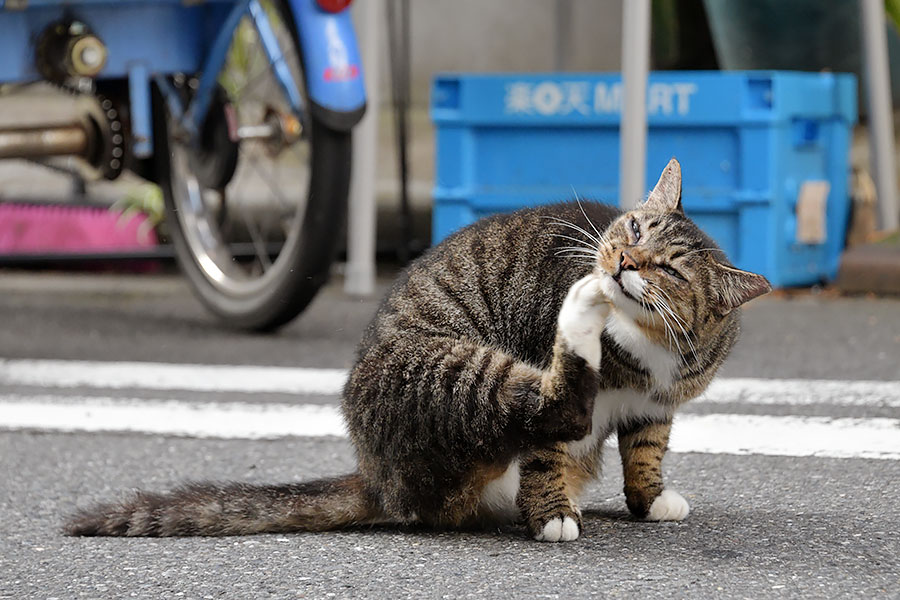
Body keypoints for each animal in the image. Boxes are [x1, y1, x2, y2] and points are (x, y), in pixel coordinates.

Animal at [65, 157, 768, 540]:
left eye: (668, 268)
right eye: (634, 228)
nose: (620, 260)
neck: (649, 346)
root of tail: (379, 478)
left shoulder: (658, 406)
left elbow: (646, 453)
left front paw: (651, 501)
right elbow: (545, 457)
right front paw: (551, 515)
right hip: (457, 372)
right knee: (549, 406)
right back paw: (580, 311)